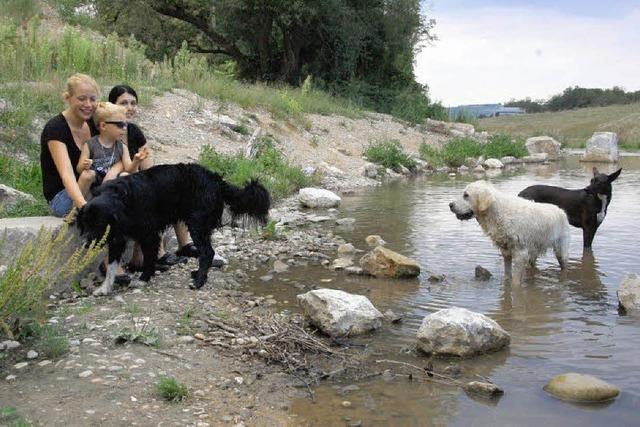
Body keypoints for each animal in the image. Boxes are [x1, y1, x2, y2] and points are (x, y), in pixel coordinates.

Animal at [77, 164, 270, 298]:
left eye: (99, 224)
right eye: (85, 223)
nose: (85, 243)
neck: (122, 200)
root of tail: (216, 179)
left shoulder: (149, 234)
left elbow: (149, 259)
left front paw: (143, 279)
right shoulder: (118, 238)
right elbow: (111, 266)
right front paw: (105, 288)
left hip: (197, 224)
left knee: (207, 252)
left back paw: (199, 281)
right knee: (207, 252)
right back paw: (198, 274)